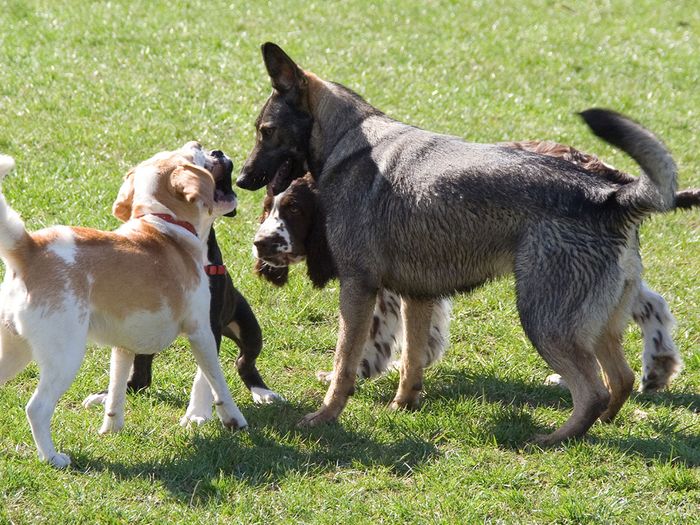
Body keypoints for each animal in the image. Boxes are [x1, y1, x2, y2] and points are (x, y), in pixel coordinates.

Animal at [0, 143, 249, 466]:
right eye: (190, 156)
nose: (205, 146)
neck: (163, 223)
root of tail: (28, 249)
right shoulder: (201, 332)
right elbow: (216, 381)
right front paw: (233, 419)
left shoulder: (123, 347)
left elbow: (117, 389)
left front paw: (111, 428)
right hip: (64, 356)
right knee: (37, 408)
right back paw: (53, 457)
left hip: (13, 352)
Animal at [239, 44, 684, 442]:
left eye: (265, 132)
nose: (241, 179)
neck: (348, 141)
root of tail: (610, 196)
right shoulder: (416, 297)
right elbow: (411, 361)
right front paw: (402, 406)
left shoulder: (358, 289)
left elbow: (345, 362)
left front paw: (326, 415)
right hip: (597, 326)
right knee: (620, 379)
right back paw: (605, 422)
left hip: (544, 322)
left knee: (593, 391)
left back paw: (554, 439)